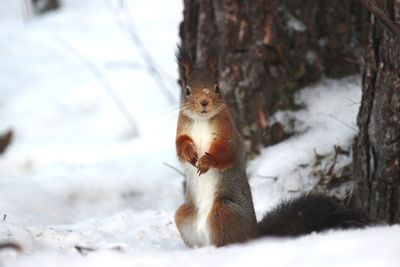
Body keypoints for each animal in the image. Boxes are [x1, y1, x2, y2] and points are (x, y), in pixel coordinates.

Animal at [173, 46, 368, 249]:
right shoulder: (181, 131)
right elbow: (179, 147)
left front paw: (206, 161)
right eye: (187, 91)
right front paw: (189, 153)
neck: (201, 121)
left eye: (217, 88)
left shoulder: (229, 136)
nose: (204, 102)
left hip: (224, 212)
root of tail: (254, 234)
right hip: (184, 216)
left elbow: (227, 153)